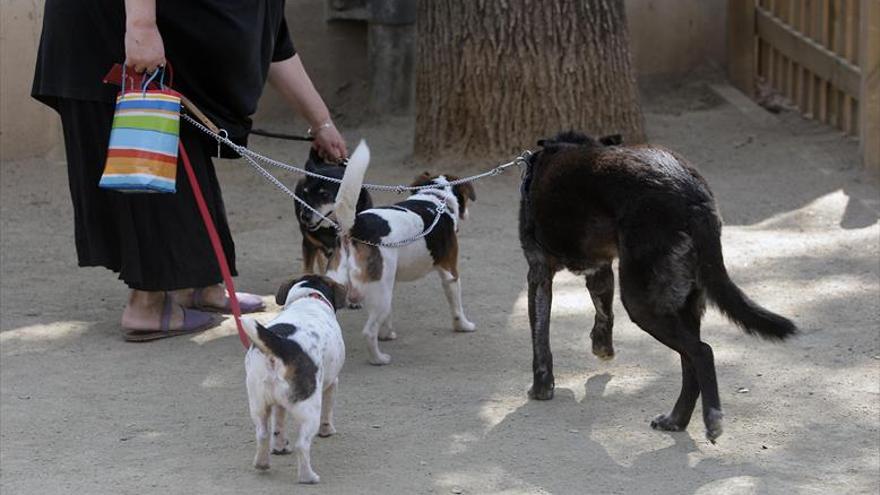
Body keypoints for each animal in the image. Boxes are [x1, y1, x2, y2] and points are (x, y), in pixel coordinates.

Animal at [244, 274, 350, 482]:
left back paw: (262, 463)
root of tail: (282, 346)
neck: (308, 297)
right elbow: (328, 411)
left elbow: (278, 424)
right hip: (310, 409)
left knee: (262, 434)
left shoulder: (279, 404)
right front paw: (327, 430)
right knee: (302, 444)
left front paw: (279, 447)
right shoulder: (333, 383)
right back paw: (308, 477)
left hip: (258, 404)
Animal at [326, 153, 478, 366]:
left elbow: (388, 317)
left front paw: (387, 334)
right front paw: (463, 326)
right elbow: (456, 307)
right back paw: (379, 359)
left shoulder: (392, 280)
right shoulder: (450, 273)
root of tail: (356, 227)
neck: (435, 197)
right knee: (368, 332)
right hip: (380, 294)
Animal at [520, 131, 800, 442]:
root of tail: (693, 196)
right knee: (689, 361)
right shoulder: (600, 270)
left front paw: (541, 387)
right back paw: (676, 420)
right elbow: (603, 313)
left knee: (702, 352)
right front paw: (602, 346)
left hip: (641, 304)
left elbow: (540, 338)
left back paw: (711, 417)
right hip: (685, 303)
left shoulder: (539, 274)